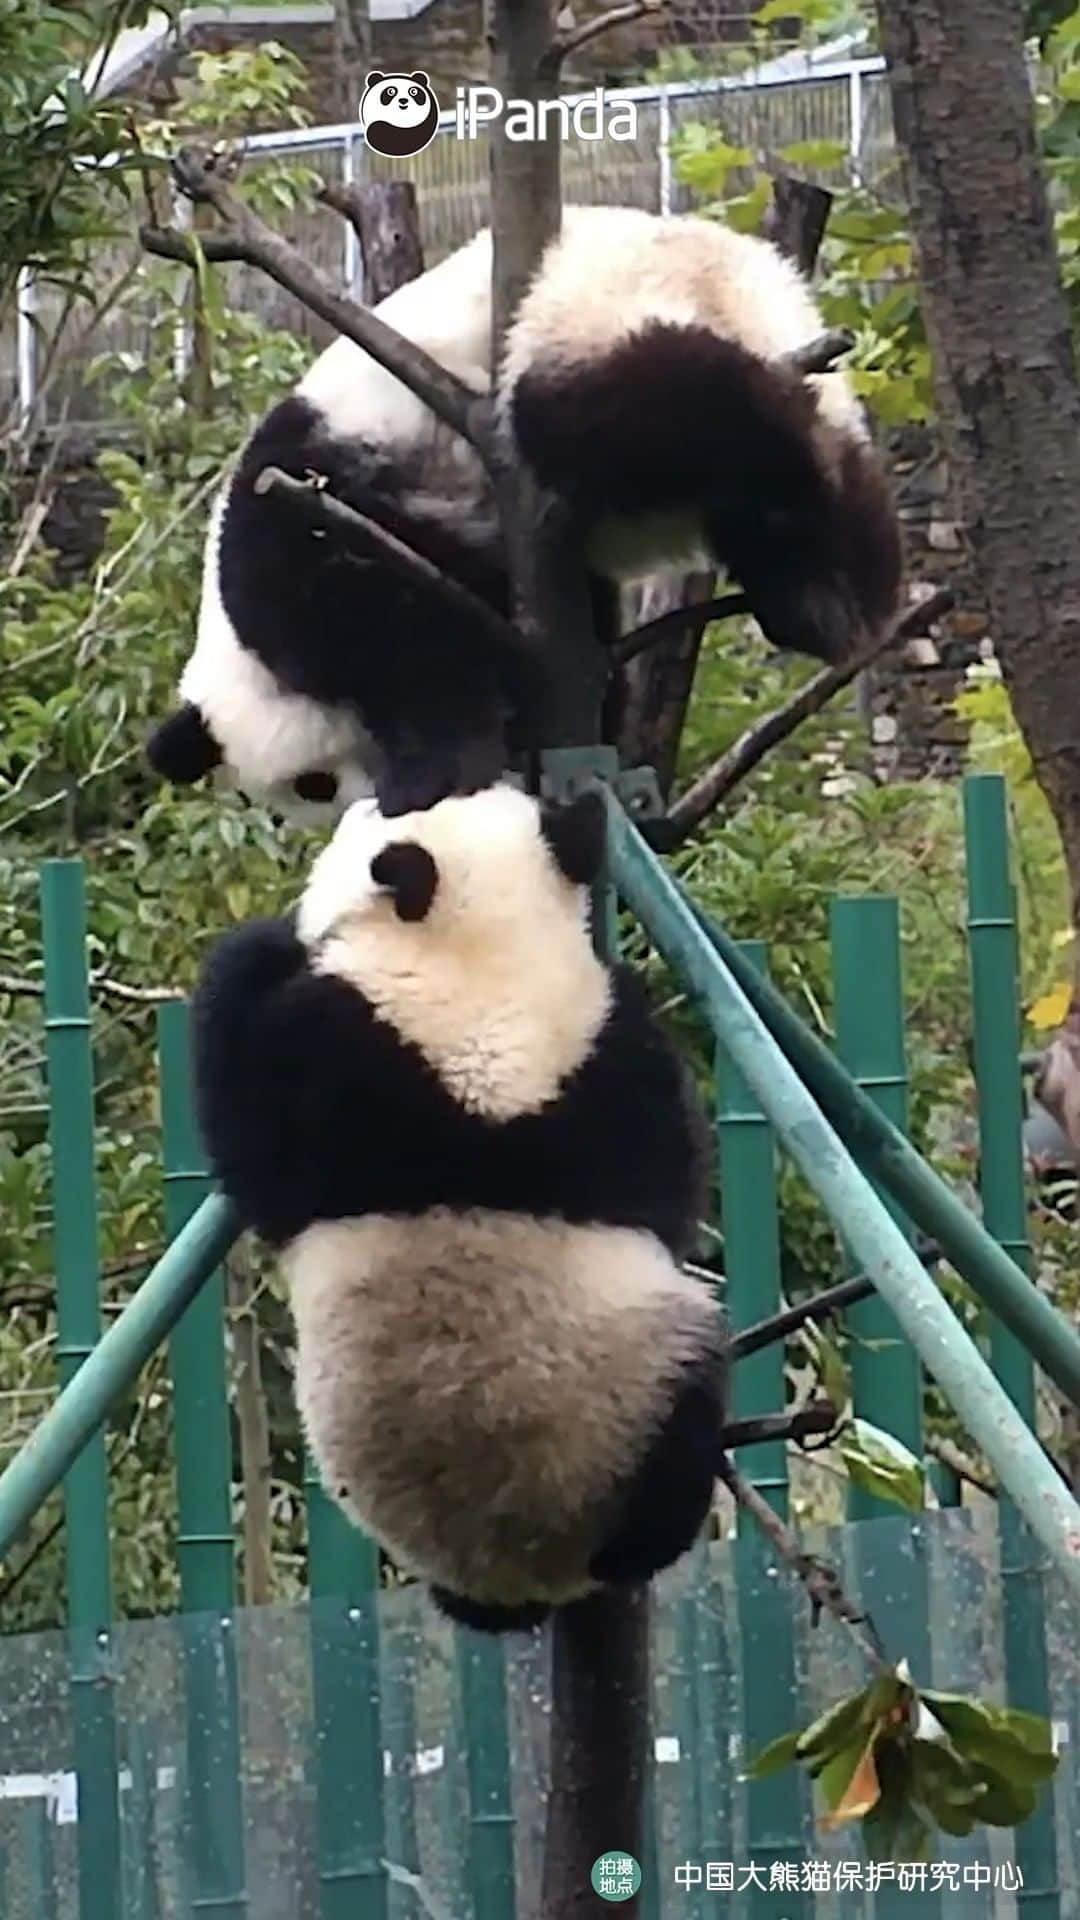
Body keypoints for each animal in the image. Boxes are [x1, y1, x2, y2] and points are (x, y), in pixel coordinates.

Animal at [149, 206, 901, 821]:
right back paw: (830, 593)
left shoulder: (305, 516)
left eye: (312, 785)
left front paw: (433, 769)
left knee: (655, 408)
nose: (356, 807)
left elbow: (398, 634)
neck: (236, 643)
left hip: (584, 316)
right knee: (809, 477)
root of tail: (740, 269)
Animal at [191, 784, 726, 1630]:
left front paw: (260, 947)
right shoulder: (609, 1065)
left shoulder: (332, 1059)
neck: (486, 974)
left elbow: (248, 1126)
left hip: (630, 1407)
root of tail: (532, 1573)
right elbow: (664, 1183)